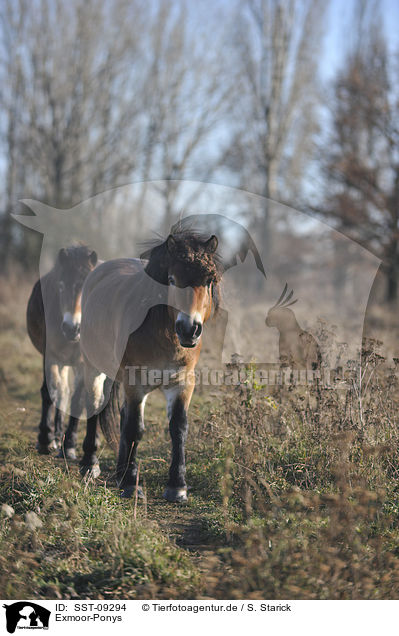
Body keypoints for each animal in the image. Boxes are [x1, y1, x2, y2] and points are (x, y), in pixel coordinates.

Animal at [27, 245, 98, 458]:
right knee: (61, 391)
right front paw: (45, 439)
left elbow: (77, 401)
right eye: (61, 286)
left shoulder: (82, 364)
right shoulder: (50, 356)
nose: (71, 328)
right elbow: (50, 391)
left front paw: (70, 446)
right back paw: (55, 436)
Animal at [79, 229, 220, 502]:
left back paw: (119, 471)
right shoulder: (135, 383)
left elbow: (178, 429)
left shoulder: (182, 383)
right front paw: (132, 485)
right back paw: (90, 464)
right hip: (94, 366)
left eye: (209, 281)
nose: (189, 329)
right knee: (95, 406)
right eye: (172, 279)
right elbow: (135, 429)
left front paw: (177, 487)